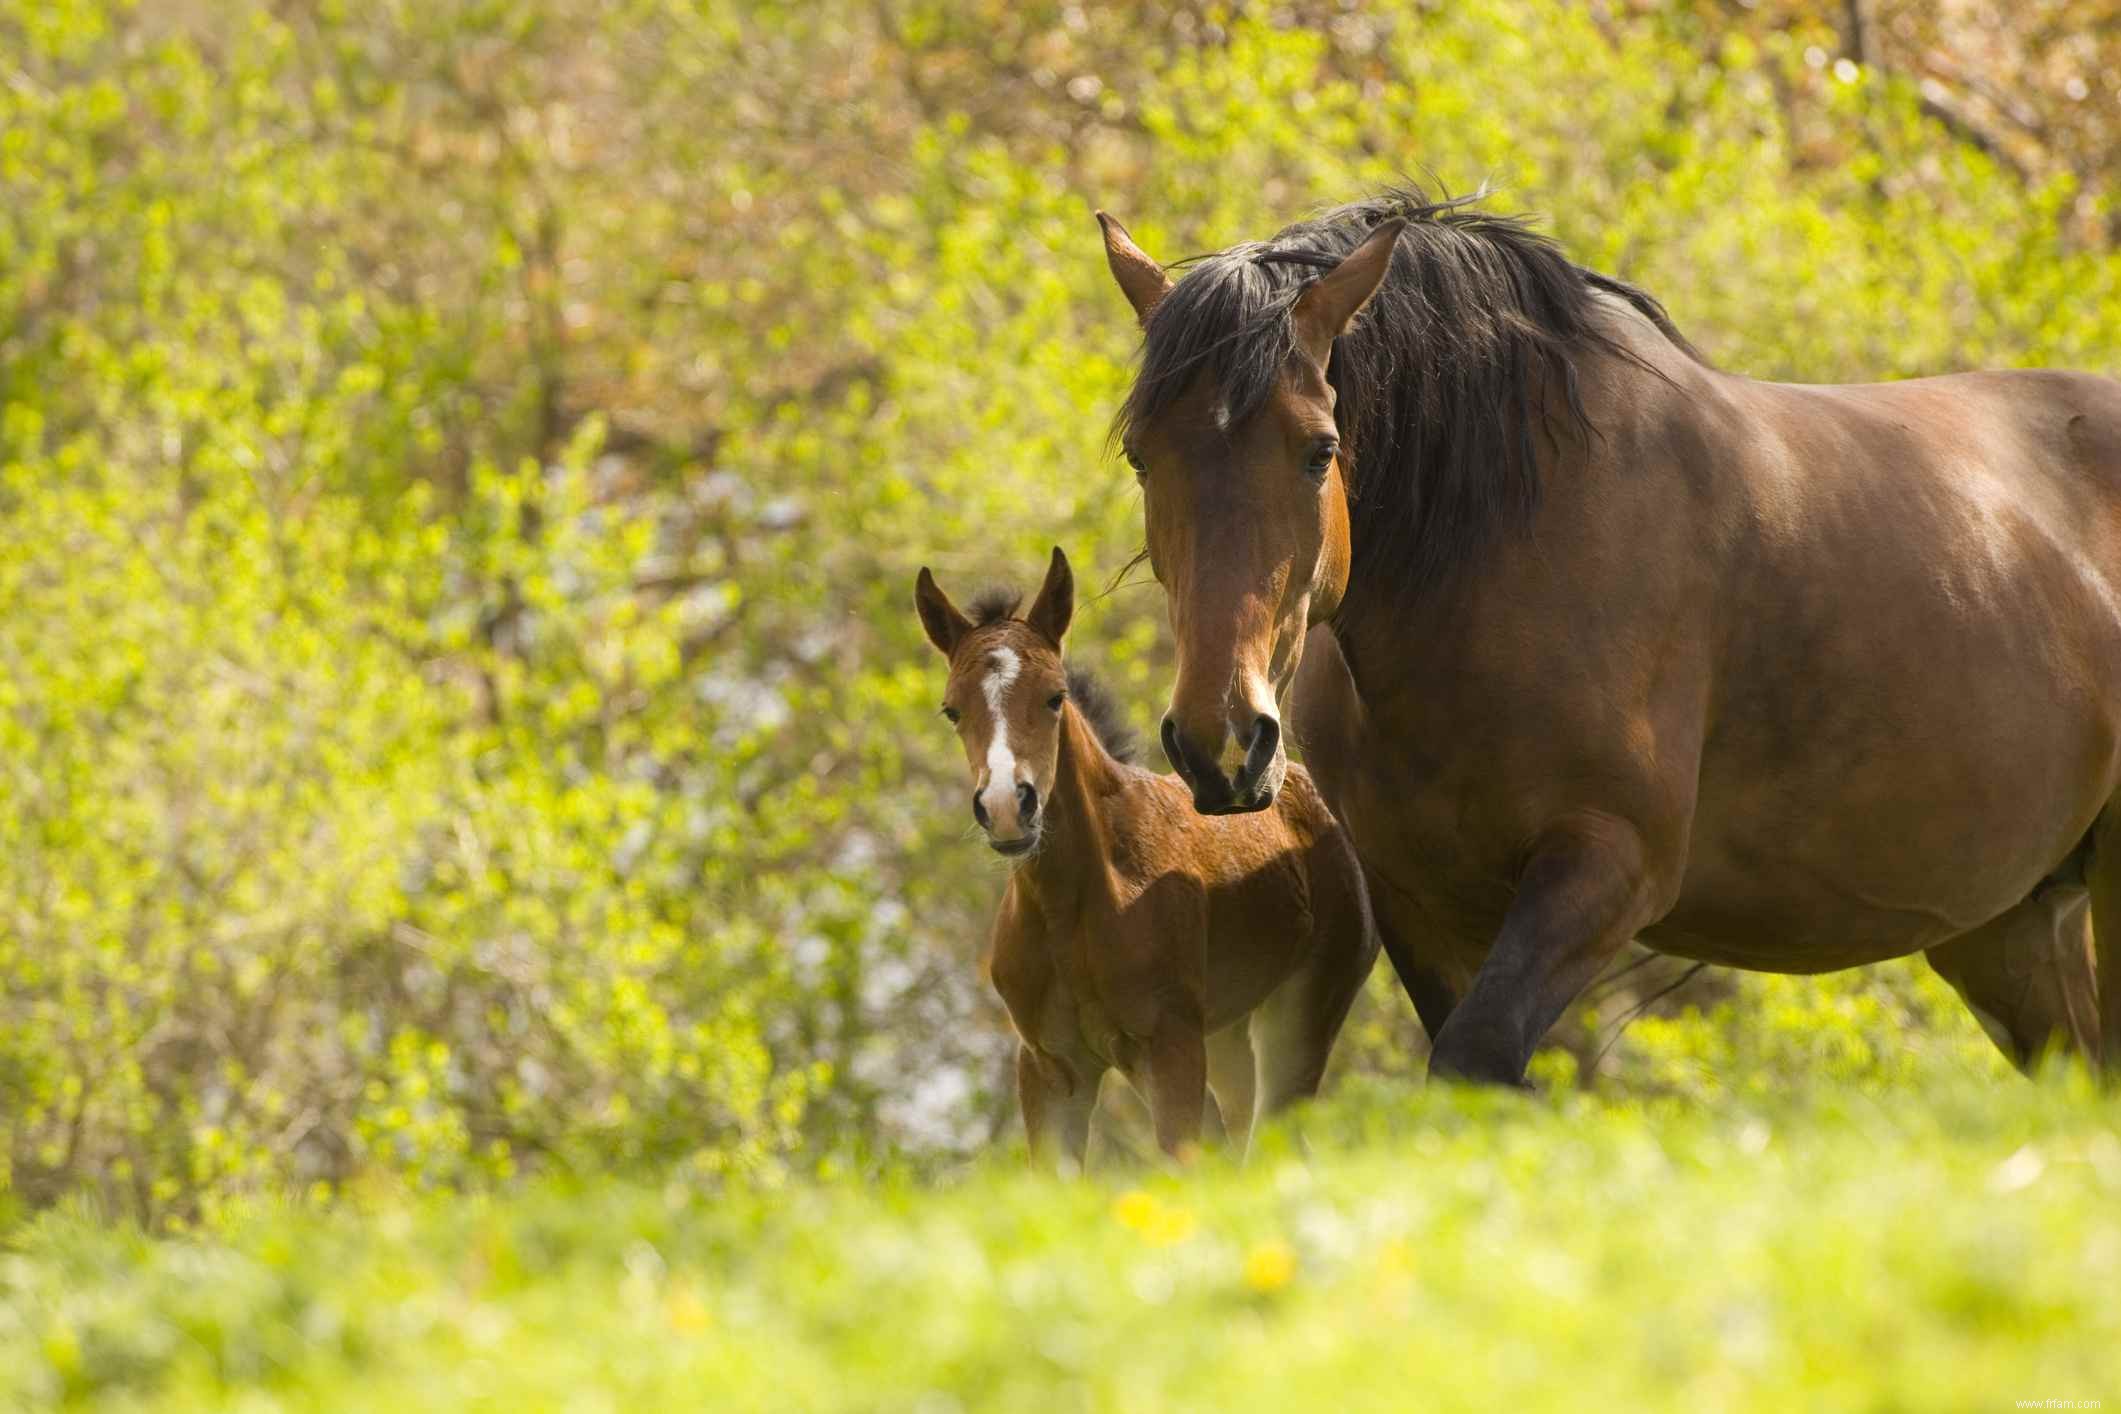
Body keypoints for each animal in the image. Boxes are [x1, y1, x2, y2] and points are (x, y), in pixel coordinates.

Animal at [912, 546, 1374, 1161]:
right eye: (952, 710)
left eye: (1055, 697)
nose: (1008, 807)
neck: (1071, 908)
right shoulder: (1051, 1070)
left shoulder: (1168, 1049)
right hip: (1224, 1039)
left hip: (1297, 1017)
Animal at [1102, 187, 2112, 1093]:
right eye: (1142, 456)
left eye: (1319, 450)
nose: (1223, 743)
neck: (1494, 553)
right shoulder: (1421, 905)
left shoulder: (1608, 865)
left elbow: (1477, 1058)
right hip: (2010, 927)